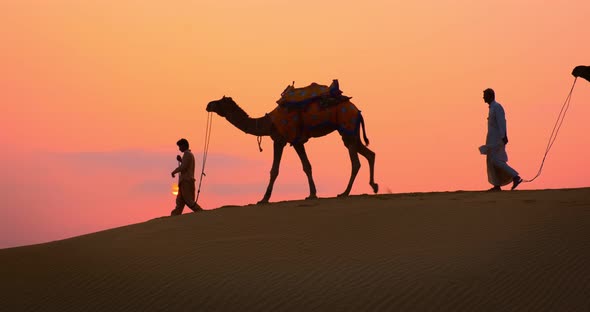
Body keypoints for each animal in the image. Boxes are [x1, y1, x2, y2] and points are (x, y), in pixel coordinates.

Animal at [206, 96, 380, 204]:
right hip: (351, 131)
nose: (208, 104)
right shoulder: (296, 141)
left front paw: (264, 199)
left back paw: (345, 192)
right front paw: (312, 194)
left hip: (347, 125)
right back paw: (374, 186)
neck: (269, 122)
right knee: (370, 154)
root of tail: (357, 110)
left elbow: (275, 170)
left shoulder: (280, 140)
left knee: (356, 162)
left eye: (219, 101)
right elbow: (307, 166)